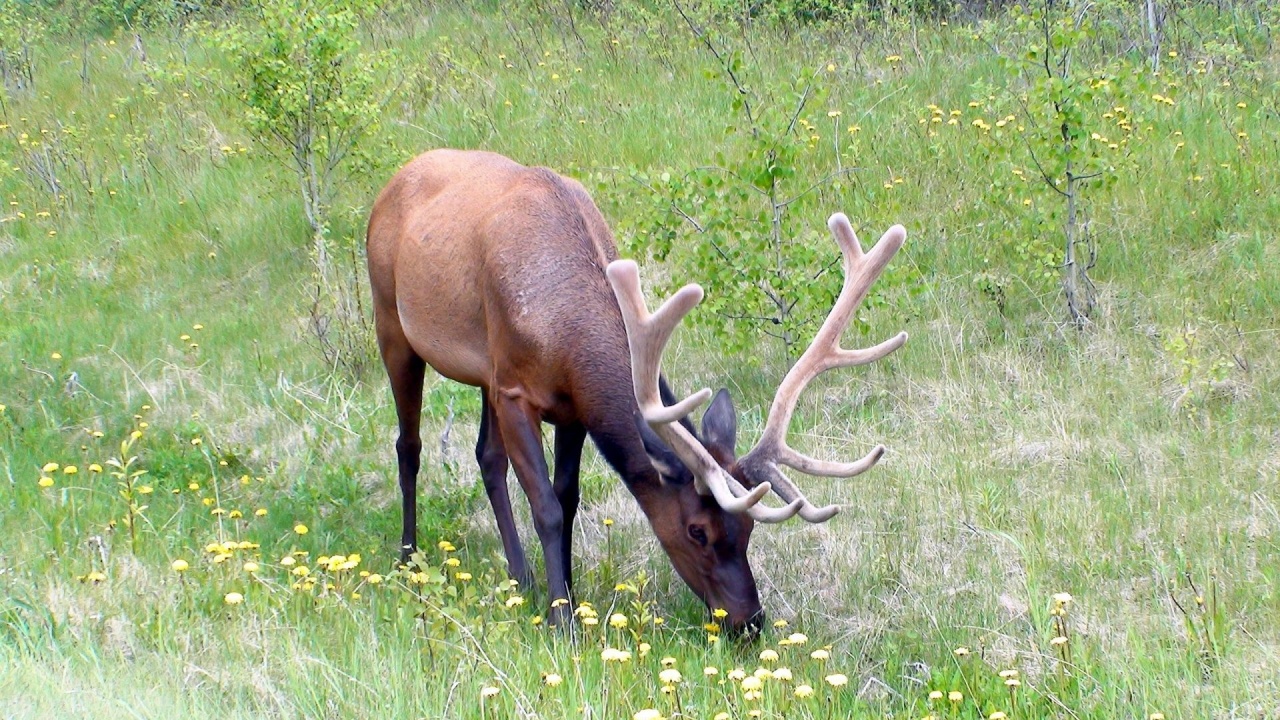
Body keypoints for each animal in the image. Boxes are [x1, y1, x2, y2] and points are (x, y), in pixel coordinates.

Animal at [368, 147, 911, 627]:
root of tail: (395, 178)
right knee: (409, 445)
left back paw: (520, 577)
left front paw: (566, 593)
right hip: (392, 323)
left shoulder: (567, 406)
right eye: (697, 531)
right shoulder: (515, 391)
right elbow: (545, 507)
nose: (750, 621)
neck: (563, 334)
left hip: (482, 373)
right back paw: (408, 556)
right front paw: (561, 620)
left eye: (749, 528)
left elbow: (567, 499)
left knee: (486, 456)